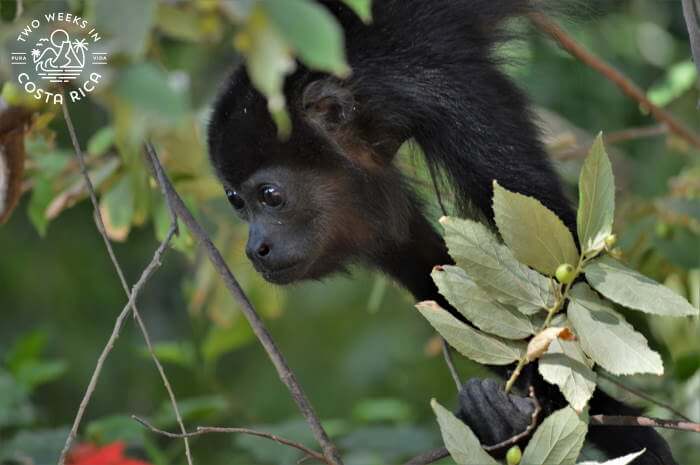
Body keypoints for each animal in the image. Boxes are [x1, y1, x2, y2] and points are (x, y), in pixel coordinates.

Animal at [207, 1, 678, 463]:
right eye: (236, 201)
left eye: (270, 195)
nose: (255, 248)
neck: (364, 96)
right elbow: (431, 270)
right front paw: (513, 422)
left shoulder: (446, 91)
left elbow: (563, 268)